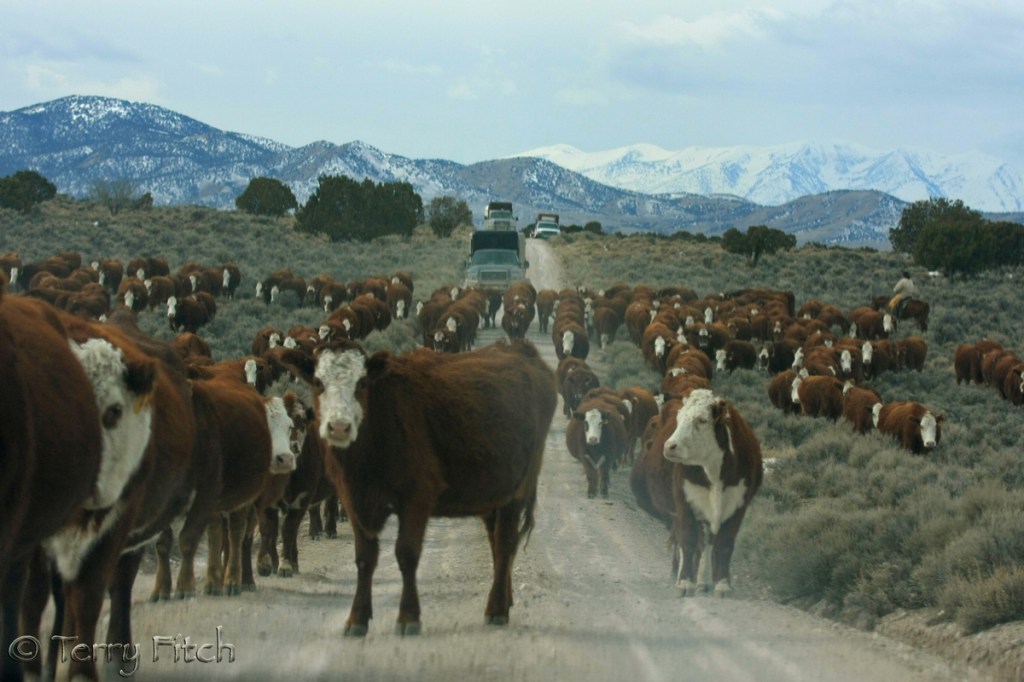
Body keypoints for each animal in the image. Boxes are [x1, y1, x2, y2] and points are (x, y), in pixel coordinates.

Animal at [282, 338, 557, 634]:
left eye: (362, 383)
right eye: (318, 382)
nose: (339, 427)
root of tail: (519, 348)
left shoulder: (417, 498)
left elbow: (407, 554)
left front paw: (408, 617)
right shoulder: (354, 499)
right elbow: (365, 558)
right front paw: (357, 619)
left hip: (516, 491)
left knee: (505, 544)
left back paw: (496, 609)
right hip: (492, 493)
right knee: (497, 543)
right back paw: (505, 600)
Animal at [655, 389, 763, 596]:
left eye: (702, 420)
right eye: (679, 418)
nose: (669, 446)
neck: (714, 472)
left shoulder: (738, 507)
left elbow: (724, 545)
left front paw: (723, 584)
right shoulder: (685, 503)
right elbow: (688, 540)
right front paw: (685, 582)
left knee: (708, 543)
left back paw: (704, 581)